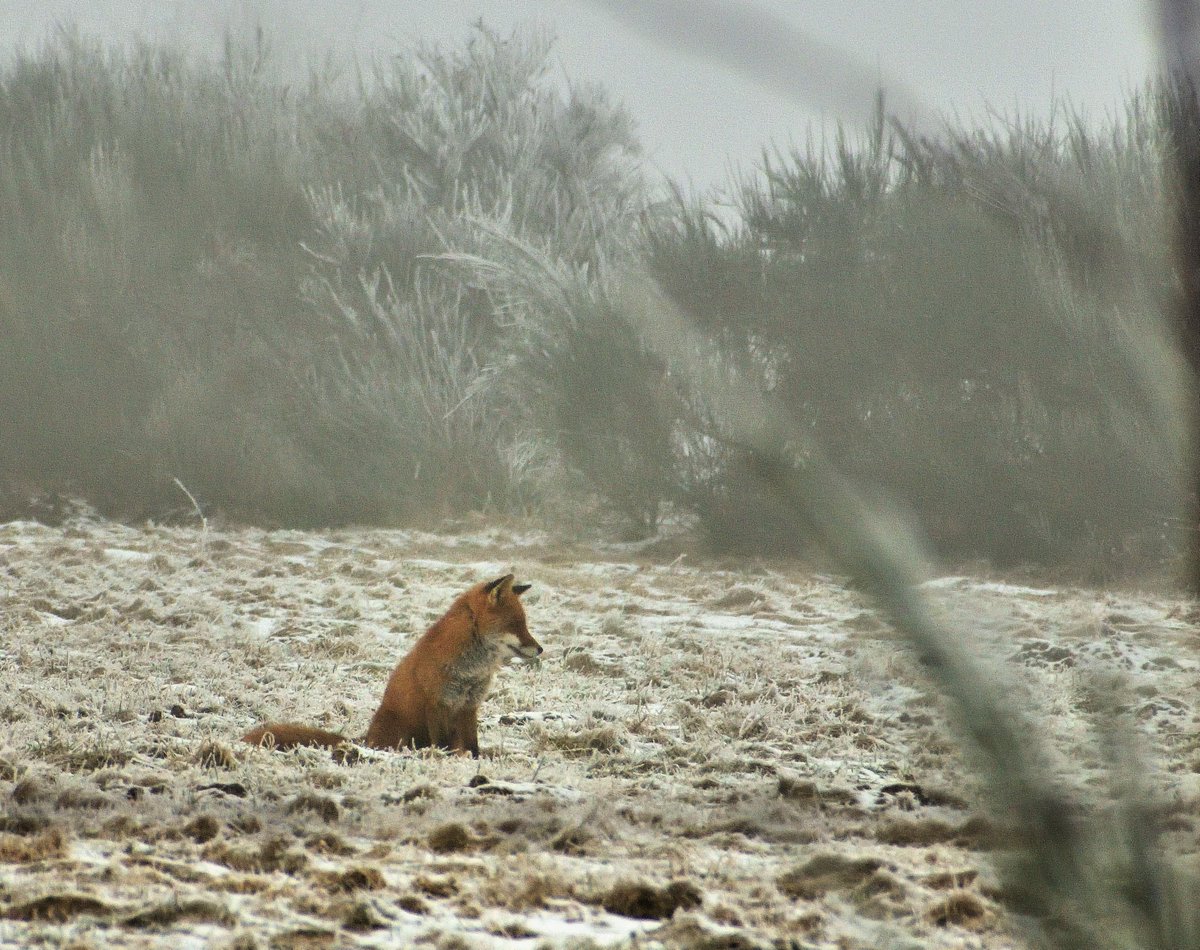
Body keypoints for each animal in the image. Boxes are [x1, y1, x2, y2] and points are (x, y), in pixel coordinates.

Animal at [241, 574, 541, 758]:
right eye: (515, 625)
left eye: (525, 624)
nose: (540, 649)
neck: (470, 671)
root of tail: (365, 739)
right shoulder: (437, 704)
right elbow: (444, 744)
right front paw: (443, 759)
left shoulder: (468, 707)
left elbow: (472, 747)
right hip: (401, 733)